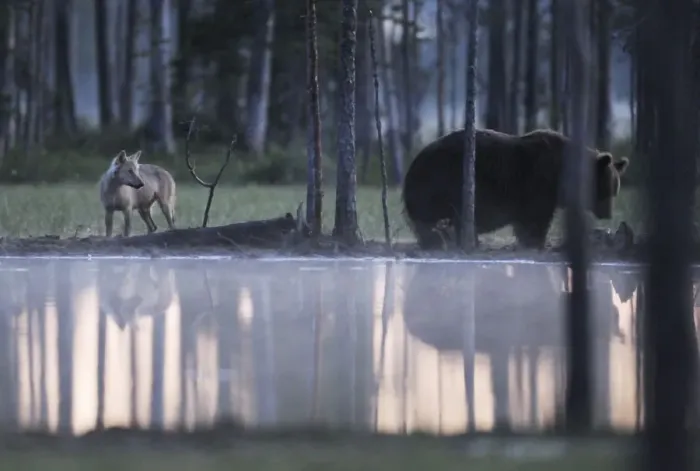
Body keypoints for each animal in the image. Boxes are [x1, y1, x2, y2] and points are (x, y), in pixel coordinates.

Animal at [401, 128, 630, 249]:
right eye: (607, 190)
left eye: (614, 190)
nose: (608, 214)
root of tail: (413, 163)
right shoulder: (538, 183)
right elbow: (535, 219)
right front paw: (536, 242)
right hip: (440, 180)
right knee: (430, 219)